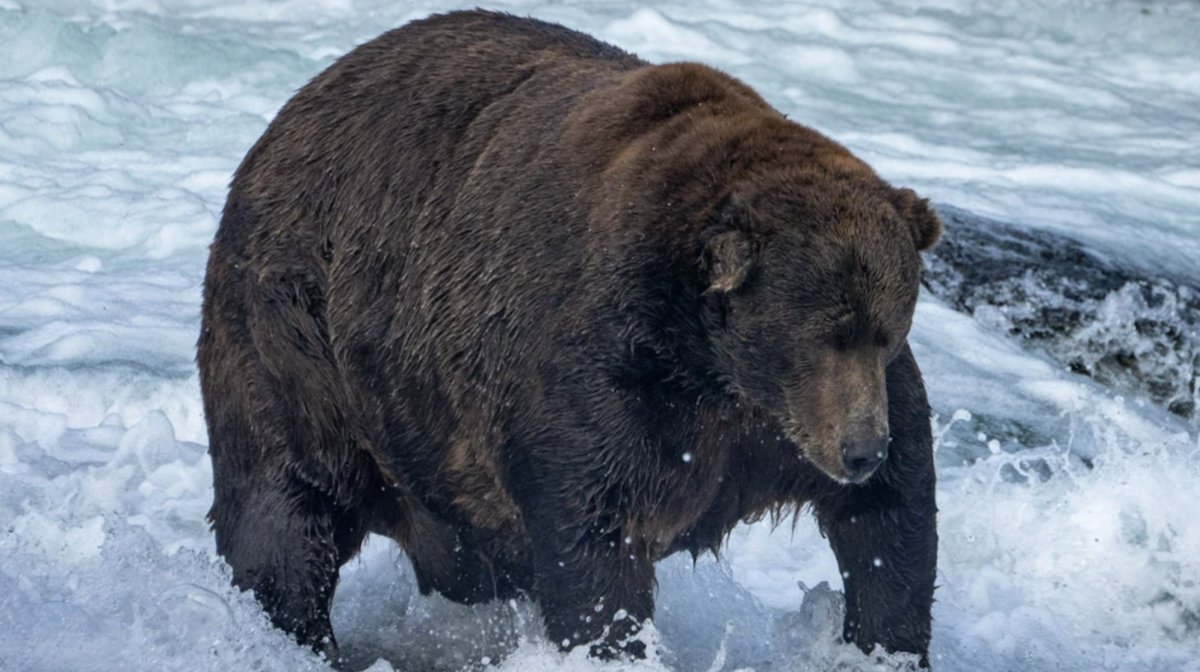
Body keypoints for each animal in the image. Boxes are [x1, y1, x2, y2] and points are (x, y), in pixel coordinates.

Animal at [197, 9, 941, 666]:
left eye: (885, 330)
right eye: (821, 334)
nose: (860, 450)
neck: (709, 362)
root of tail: (289, 114)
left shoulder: (780, 424)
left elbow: (892, 518)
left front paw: (883, 642)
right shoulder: (605, 377)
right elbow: (595, 534)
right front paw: (612, 641)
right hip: (299, 341)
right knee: (286, 507)